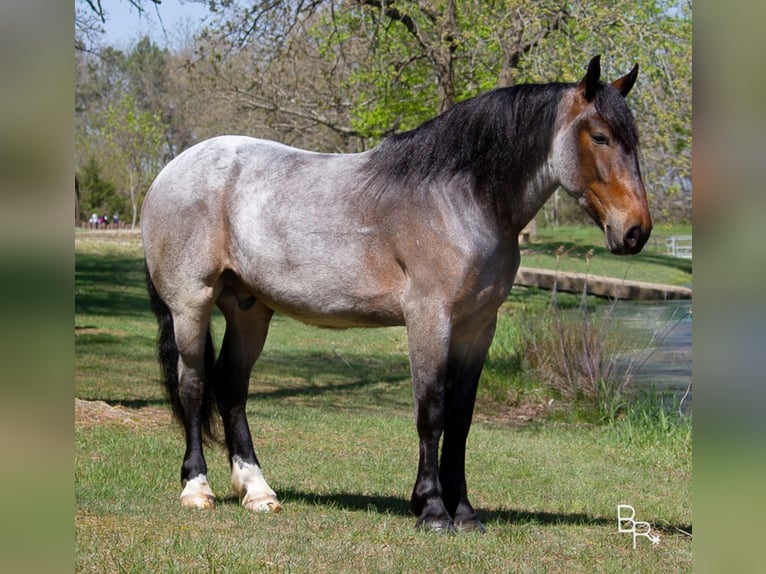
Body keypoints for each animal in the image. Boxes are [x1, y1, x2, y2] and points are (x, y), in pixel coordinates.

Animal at [144, 56, 656, 532]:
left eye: (633, 139)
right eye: (600, 137)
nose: (636, 231)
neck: (458, 198)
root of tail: (170, 170)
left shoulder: (477, 327)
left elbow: (461, 417)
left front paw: (464, 512)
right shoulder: (430, 318)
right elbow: (431, 411)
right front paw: (431, 510)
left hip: (249, 309)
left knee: (232, 388)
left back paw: (257, 491)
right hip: (191, 305)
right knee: (194, 387)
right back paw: (197, 489)